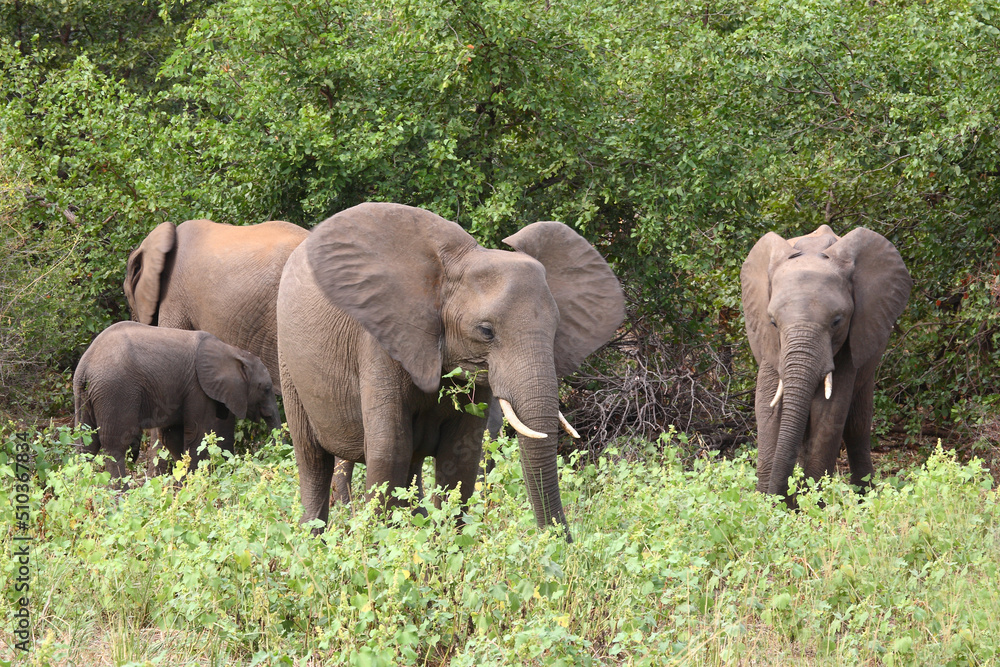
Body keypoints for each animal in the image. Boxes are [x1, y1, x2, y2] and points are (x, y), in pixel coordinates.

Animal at [73, 321, 281, 479]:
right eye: (266, 389)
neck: (233, 352)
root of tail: (85, 364)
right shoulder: (197, 389)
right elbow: (198, 434)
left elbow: (172, 437)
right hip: (115, 391)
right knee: (115, 446)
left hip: (85, 395)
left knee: (86, 444)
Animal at [276, 203, 624, 540]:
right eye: (486, 331)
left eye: (555, 331)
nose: (560, 542)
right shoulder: (380, 343)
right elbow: (389, 452)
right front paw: (380, 546)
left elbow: (461, 457)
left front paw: (448, 544)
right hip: (286, 358)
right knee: (312, 459)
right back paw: (311, 541)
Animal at [741, 224, 912, 502]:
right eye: (773, 322)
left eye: (837, 321)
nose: (780, 499)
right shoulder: (770, 347)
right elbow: (767, 407)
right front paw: (767, 504)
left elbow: (829, 413)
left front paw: (810, 504)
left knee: (857, 426)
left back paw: (864, 497)